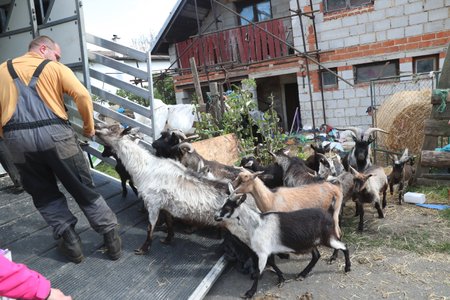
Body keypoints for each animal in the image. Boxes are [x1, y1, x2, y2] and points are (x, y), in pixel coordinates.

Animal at [93, 123, 246, 254]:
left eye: (112, 128)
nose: (96, 127)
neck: (145, 168)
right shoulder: (165, 205)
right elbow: (169, 223)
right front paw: (167, 239)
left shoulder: (152, 203)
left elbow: (150, 227)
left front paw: (143, 249)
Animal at [214, 191, 352, 298]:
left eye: (227, 208)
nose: (215, 217)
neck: (257, 224)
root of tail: (329, 212)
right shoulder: (268, 251)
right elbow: (272, 264)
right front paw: (281, 279)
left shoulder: (262, 253)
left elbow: (258, 272)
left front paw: (250, 293)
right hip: (312, 242)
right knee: (317, 255)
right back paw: (302, 274)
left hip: (328, 238)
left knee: (344, 246)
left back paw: (346, 267)